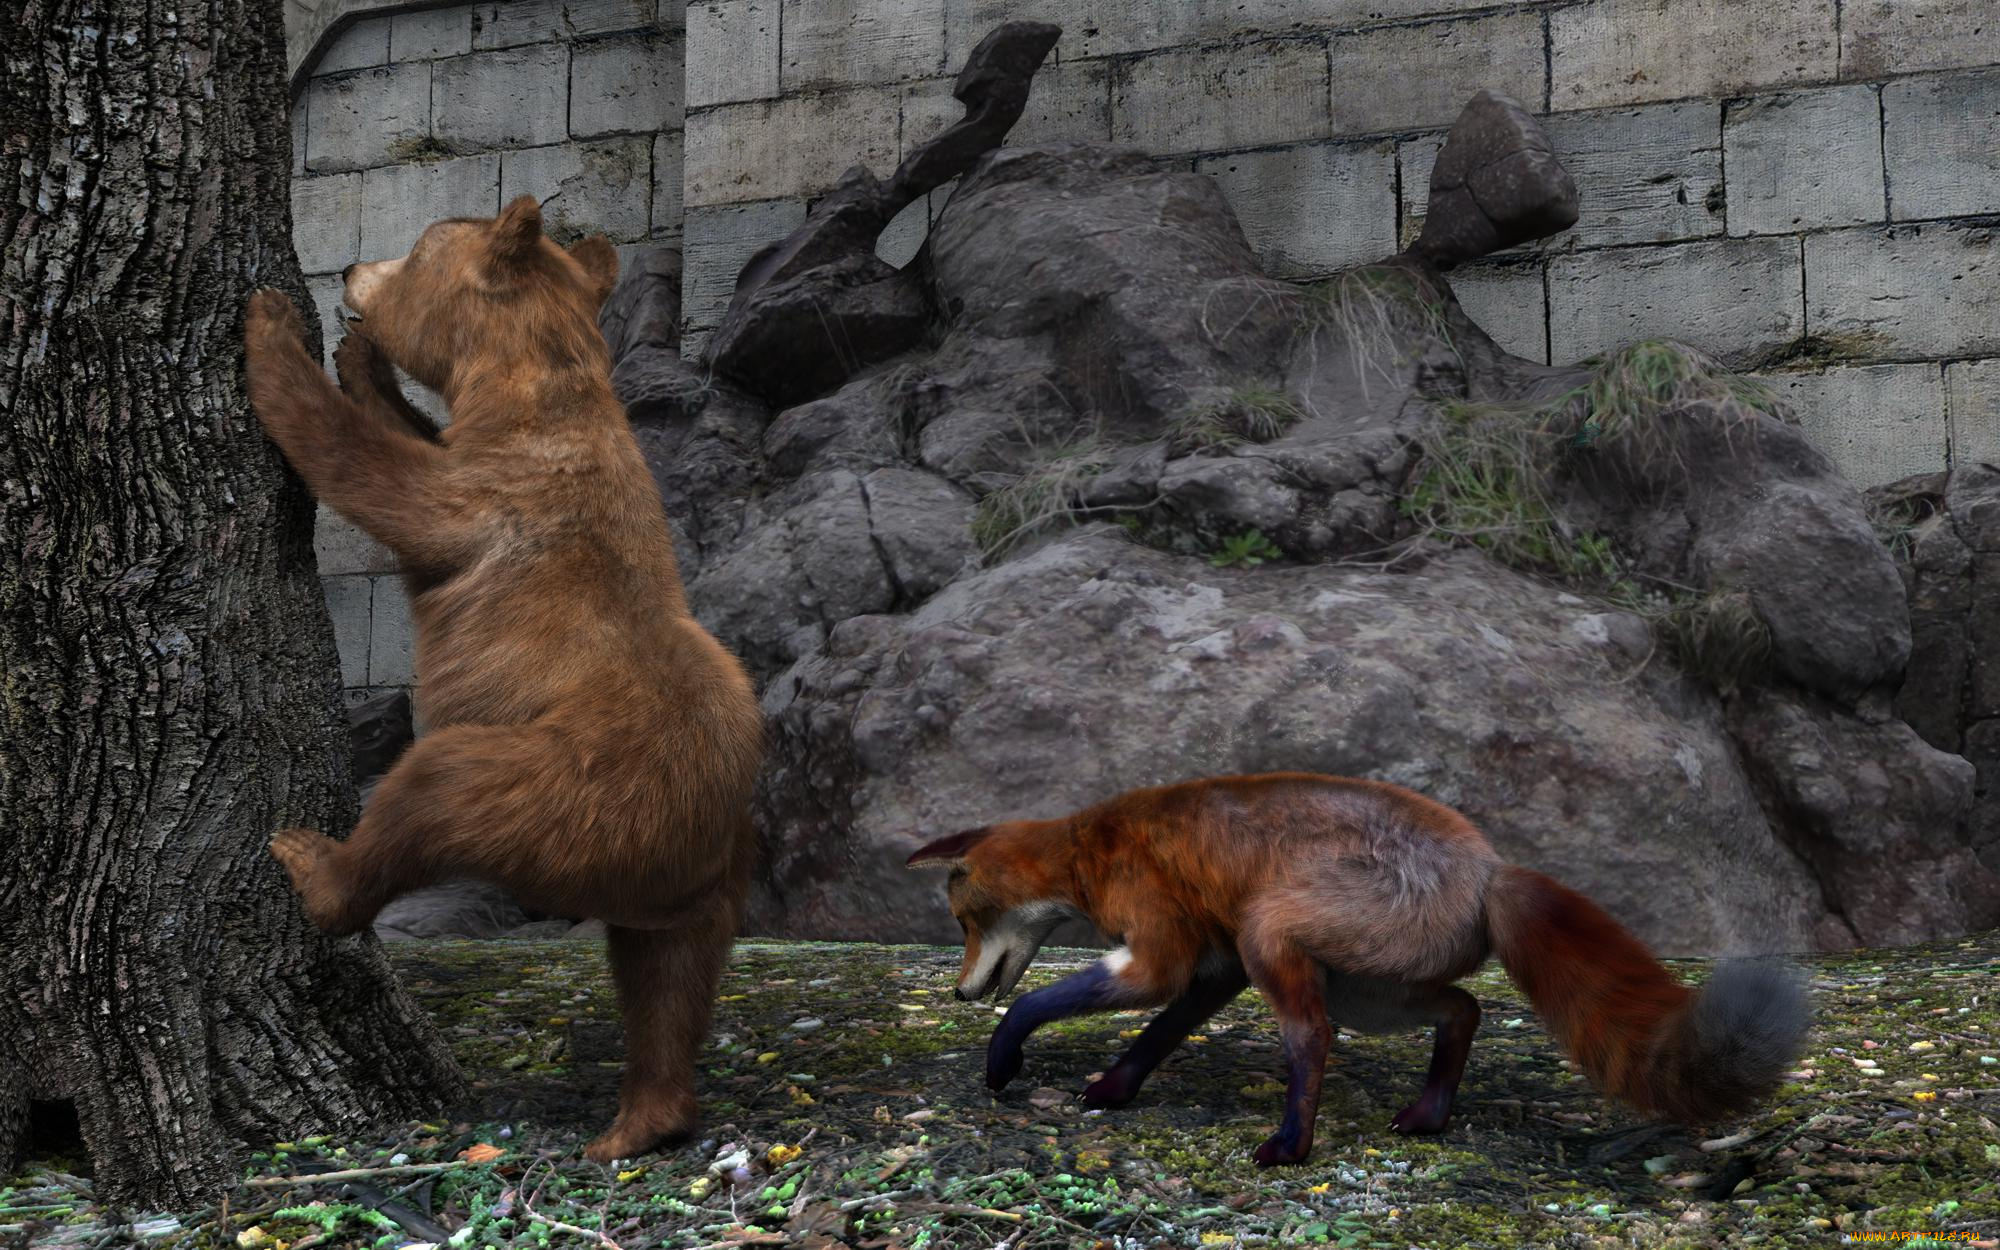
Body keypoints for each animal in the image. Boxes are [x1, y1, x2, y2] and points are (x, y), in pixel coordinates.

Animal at [243, 195, 764, 1162]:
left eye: (415, 247)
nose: (352, 273)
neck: (530, 387)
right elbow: (403, 434)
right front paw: (360, 360)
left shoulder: (494, 498)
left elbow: (368, 471)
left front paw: (274, 325)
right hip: (701, 871)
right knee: (670, 977)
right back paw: (641, 1121)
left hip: (564, 788)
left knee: (432, 790)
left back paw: (312, 861)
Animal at [907, 772, 1807, 1167]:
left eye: (964, 923)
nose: (958, 989)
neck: (1092, 848)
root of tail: (1491, 870)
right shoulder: (1217, 968)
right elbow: (1156, 1038)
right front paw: (1113, 1090)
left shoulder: (1163, 955)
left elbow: (1049, 1003)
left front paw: (1003, 1058)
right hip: (1367, 988)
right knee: (1463, 1010)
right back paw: (1430, 1113)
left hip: (1280, 937)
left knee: (1314, 1038)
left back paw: (1291, 1145)